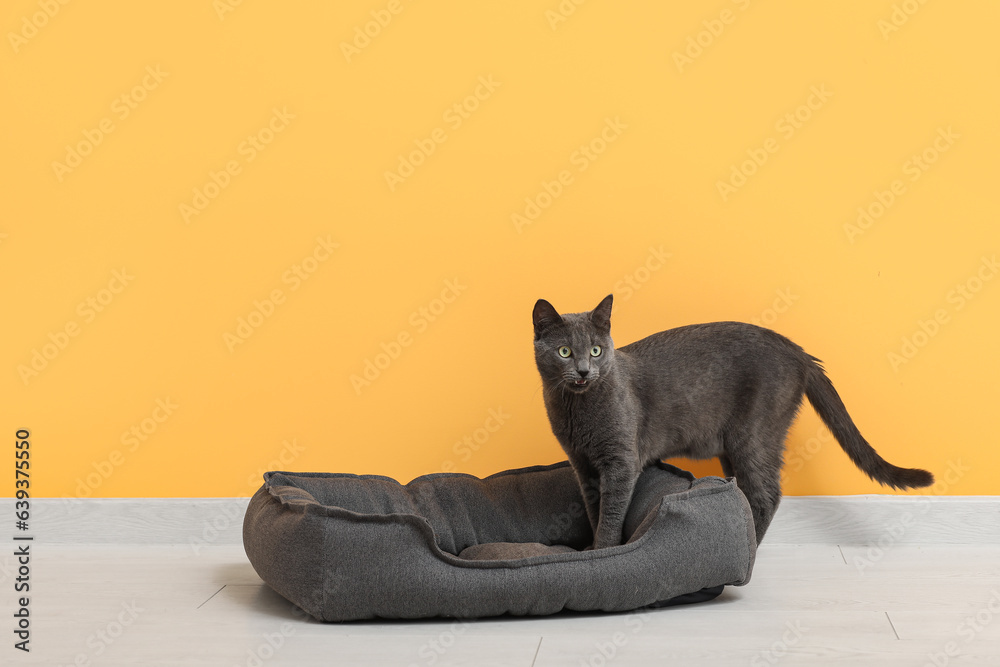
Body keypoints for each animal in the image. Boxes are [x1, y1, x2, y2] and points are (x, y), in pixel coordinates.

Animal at [536, 294, 932, 544]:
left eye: (596, 350)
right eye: (565, 351)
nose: (584, 371)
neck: (577, 412)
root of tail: (799, 352)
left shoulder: (621, 463)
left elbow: (611, 514)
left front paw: (604, 552)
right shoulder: (584, 465)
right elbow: (595, 511)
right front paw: (594, 549)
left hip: (754, 435)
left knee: (766, 494)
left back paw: (750, 546)